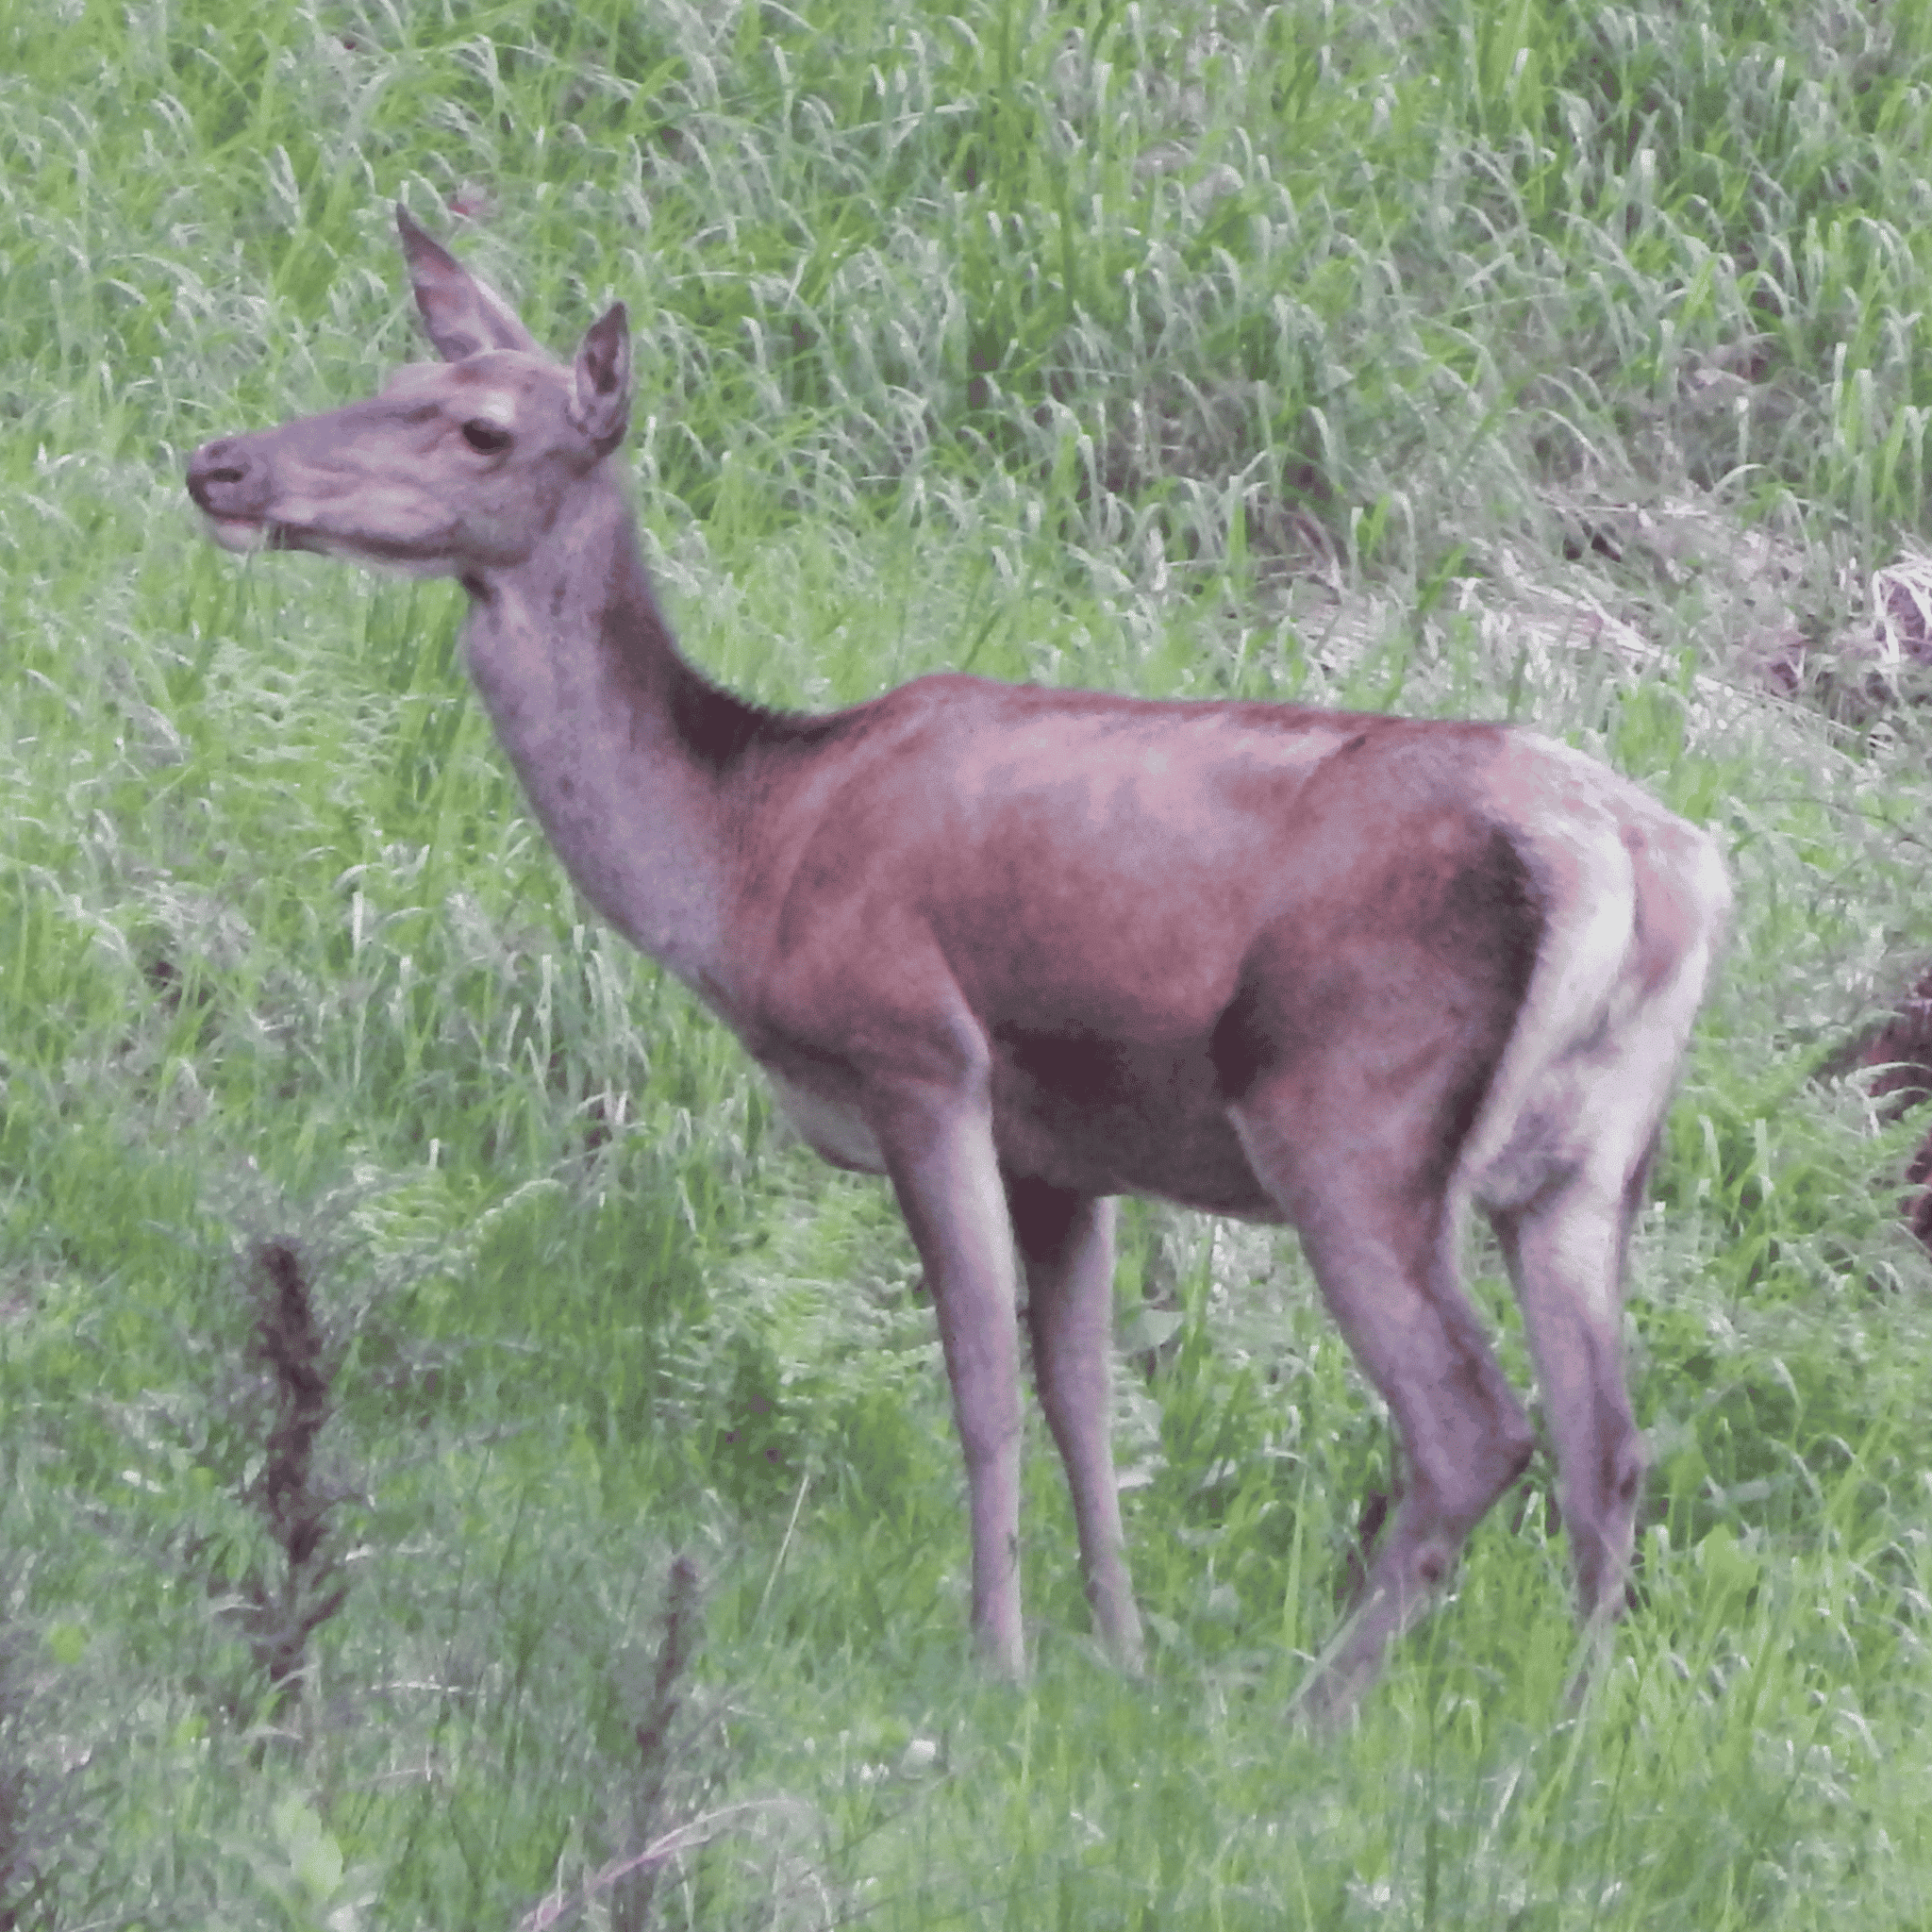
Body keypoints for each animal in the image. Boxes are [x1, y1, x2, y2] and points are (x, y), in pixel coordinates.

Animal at [188, 211, 1739, 1723]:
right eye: (395, 377)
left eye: (481, 430)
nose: (221, 461)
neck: (746, 858)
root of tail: (1635, 863)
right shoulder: (1067, 1152)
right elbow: (1085, 1400)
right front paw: (1117, 1650)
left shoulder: (919, 1055)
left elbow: (980, 1382)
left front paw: (996, 1659)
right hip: (1588, 1166)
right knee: (1608, 1450)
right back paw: (1557, 1744)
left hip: (1348, 1110)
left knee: (1477, 1427)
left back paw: (1312, 1714)